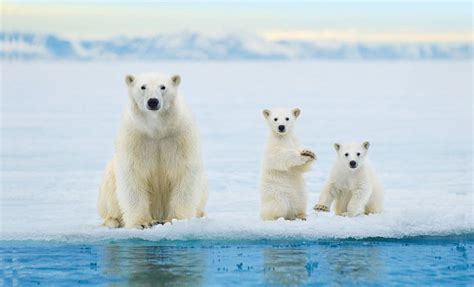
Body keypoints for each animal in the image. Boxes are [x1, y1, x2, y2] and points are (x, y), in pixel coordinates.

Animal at [97, 72, 206, 230]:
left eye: (163, 87)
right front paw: (143, 223)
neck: (156, 131)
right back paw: (113, 220)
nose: (153, 101)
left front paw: (175, 220)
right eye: (143, 87)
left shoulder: (180, 137)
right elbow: (133, 176)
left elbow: (184, 173)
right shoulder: (135, 138)